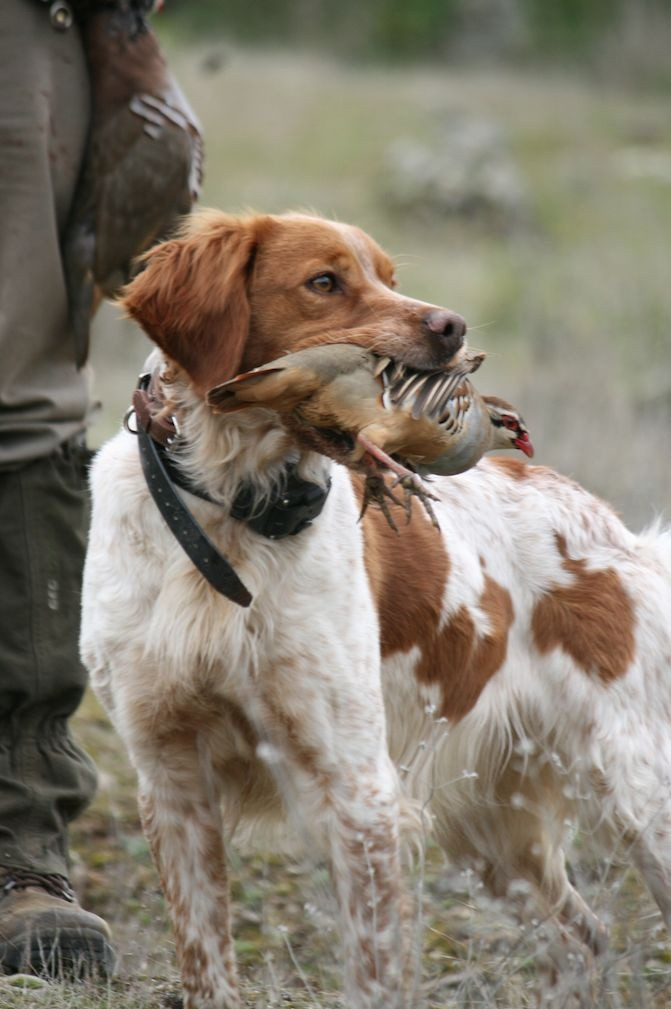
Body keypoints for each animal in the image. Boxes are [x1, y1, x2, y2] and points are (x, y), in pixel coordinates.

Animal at [81, 206, 669, 1008]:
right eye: (324, 282)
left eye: (390, 277)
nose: (452, 327)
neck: (234, 510)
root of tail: (617, 532)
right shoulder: (169, 777)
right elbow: (205, 961)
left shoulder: (360, 793)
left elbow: (373, 970)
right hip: (493, 833)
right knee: (581, 936)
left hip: (636, 790)